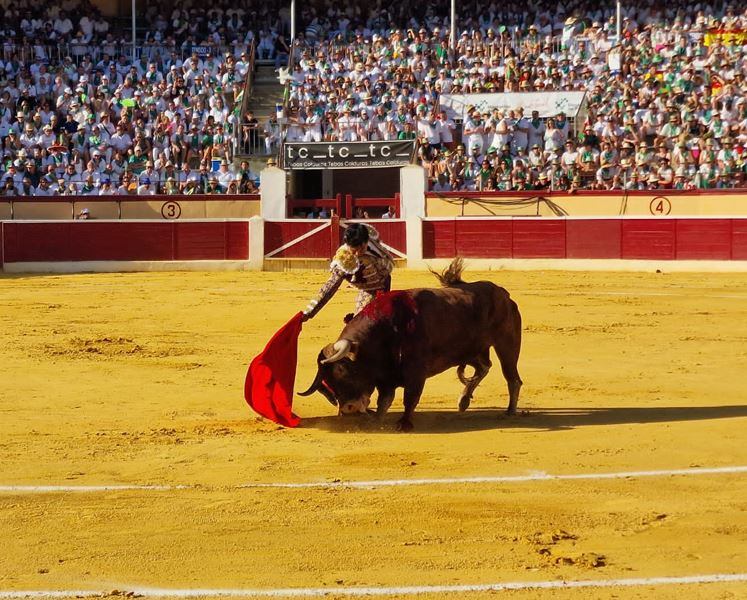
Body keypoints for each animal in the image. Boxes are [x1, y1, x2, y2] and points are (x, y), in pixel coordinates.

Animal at [300, 258, 524, 432]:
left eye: (342, 369)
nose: (348, 408)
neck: (387, 329)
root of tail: (503, 293)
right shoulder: (385, 376)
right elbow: (384, 401)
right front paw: (377, 421)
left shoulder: (416, 371)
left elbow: (410, 397)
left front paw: (404, 424)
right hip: (470, 350)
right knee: (484, 367)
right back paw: (463, 400)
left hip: (506, 343)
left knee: (512, 377)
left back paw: (510, 411)